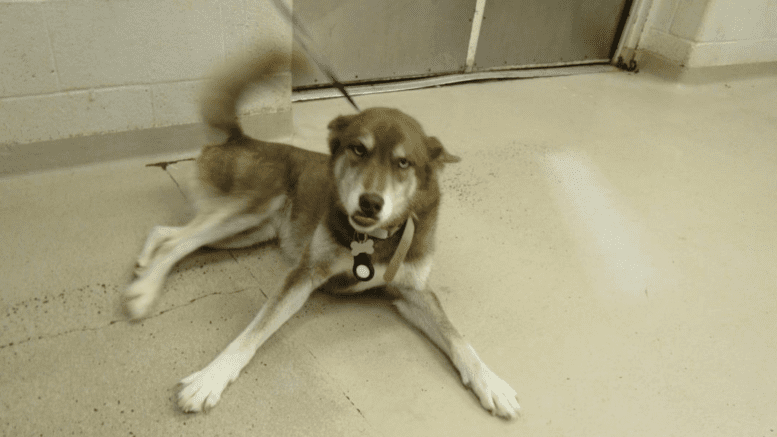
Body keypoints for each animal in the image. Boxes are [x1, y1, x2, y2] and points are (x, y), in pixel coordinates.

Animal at [123, 47, 520, 418]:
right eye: (358, 149)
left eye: (404, 163)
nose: (371, 203)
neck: (373, 239)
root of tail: (241, 139)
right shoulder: (304, 274)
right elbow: (253, 331)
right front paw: (210, 378)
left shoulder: (413, 292)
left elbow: (458, 337)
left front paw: (492, 383)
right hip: (253, 207)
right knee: (180, 241)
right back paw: (143, 293)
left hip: (252, 230)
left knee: (166, 232)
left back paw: (143, 269)